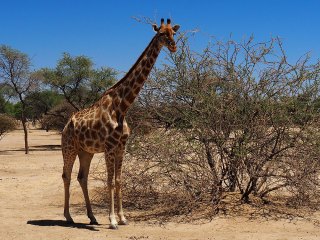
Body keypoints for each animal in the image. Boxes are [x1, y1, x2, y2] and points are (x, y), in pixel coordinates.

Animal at [61, 18, 179, 229]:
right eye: (161, 34)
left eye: (174, 33)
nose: (173, 46)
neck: (122, 106)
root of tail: (66, 125)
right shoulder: (109, 146)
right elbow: (109, 181)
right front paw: (112, 220)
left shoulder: (122, 146)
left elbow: (118, 180)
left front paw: (123, 218)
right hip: (69, 148)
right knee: (66, 176)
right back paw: (68, 217)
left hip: (86, 151)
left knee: (82, 177)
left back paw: (92, 217)